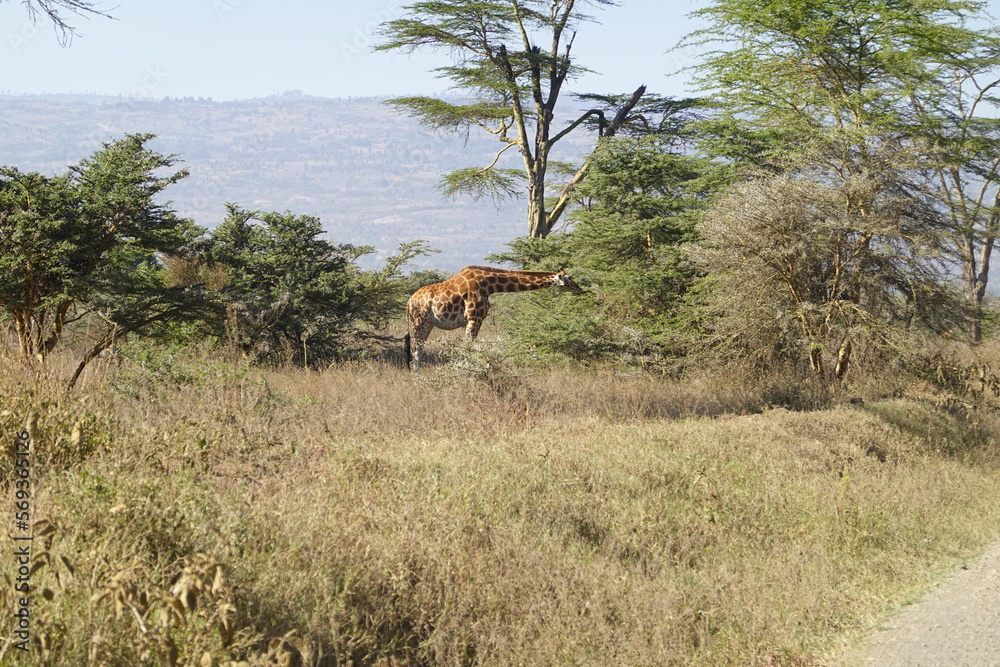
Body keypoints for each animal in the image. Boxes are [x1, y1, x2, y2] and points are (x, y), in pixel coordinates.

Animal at [404, 265, 581, 371]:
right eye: (570, 278)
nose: (580, 289)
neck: (490, 285)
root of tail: (409, 302)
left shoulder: (475, 320)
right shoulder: (474, 318)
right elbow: (468, 348)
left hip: (429, 324)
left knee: (418, 349)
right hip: (419, 321)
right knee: (415, 351)